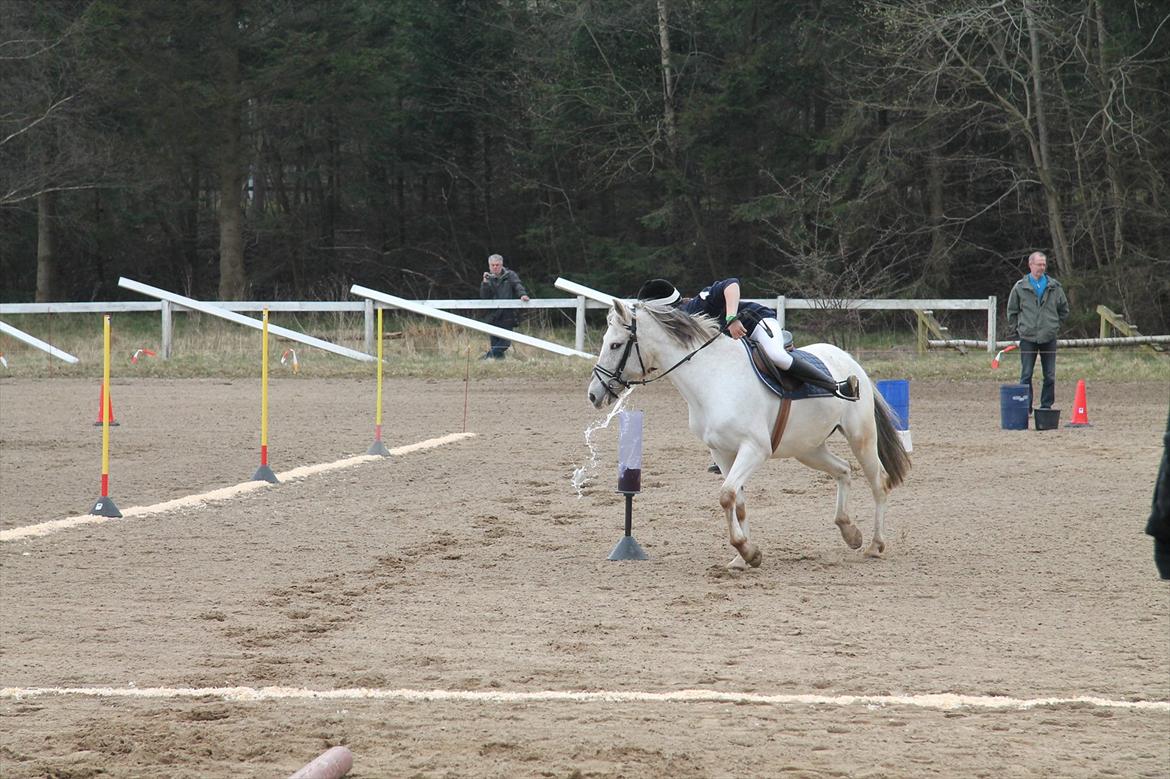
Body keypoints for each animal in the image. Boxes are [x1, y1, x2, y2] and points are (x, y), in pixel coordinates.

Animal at [586, 299, 911, 568]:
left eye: (615, 345)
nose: (593, 394)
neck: (712, 379)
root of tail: (848, 359)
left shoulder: (754, 450)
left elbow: (726, 495)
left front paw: (746, 550)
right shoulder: (722, 452)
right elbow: (737, 503)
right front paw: (743, 557)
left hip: (861, 436)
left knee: (879, 483)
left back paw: (874, 544)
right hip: (807, 448)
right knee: (843, 470)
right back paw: (849, 531)